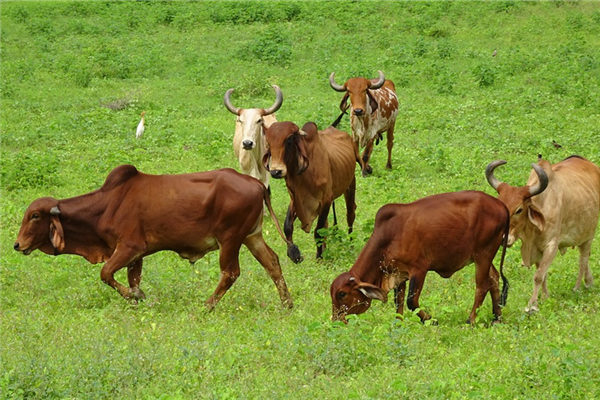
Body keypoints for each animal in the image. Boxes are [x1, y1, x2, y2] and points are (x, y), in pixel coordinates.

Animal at [12, 165, 294, 310]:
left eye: (35, 216)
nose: (17, 244)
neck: (107, 205)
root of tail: (256, 184)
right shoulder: (136, 256)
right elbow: (131, 279)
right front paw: (138, 299)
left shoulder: (128, 247)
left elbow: (105, 274)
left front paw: (137, 296)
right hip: (251, 236)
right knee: (272, 262)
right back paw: (287, 304)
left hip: (230, 239)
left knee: (231, 272)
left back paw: (206, 306)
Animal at [262, 119, 356, 262]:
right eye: (268, 141)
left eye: (289, 139)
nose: (276, 171)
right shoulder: (295, 199)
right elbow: (287, 226)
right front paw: (293, 253)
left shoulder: (326, 199)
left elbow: (318, 231)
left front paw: (319, 257)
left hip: (350, 184)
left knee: (350, 216)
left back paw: (350, 245)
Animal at [330, 191, 508, 324]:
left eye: (342, 294)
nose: (336, 320)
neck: (388, 237)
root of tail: (502, 206)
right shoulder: (398, 274)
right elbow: (399, 302)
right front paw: (398, 324)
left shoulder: (419, 269)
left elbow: (411, 301)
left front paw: (431, 320)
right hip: (484, 256)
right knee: (494, 278)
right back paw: (497, 317)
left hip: (483, 254)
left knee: (482, 286)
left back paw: (471, 320)